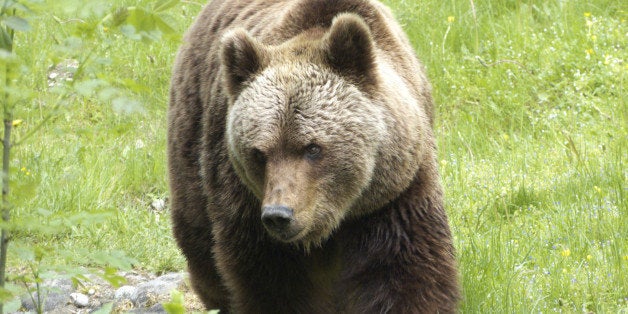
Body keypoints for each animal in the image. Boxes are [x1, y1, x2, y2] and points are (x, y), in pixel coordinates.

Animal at [169, 0, 458, 312]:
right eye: (259, 153)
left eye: (313, 148)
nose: (279, 215)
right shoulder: (247, 208)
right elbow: (271, 283)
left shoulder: (394, 191)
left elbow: (403, 270)